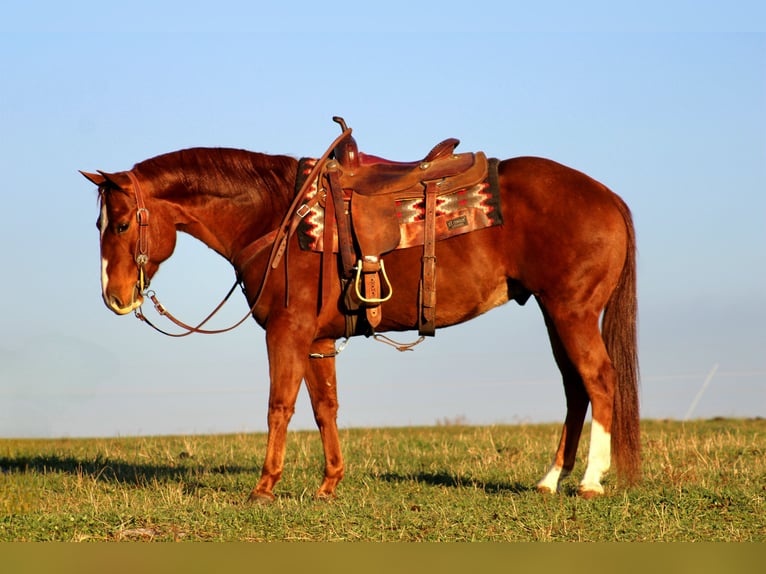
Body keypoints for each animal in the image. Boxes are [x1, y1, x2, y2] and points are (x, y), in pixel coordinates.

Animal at [81, 128, 639, 501]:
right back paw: (550, 480)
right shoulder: (317, 340)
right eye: (99, 224)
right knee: (574, 388)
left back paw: (590, 482)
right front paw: (329, 484)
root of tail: (608, 196)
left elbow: (279, 405)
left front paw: (264, 487)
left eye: (123, 223)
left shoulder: (286, 331)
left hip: (572, 311)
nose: (115, 297)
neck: (277, 217)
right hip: (554, 313)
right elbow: (324, 407)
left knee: (599, 379)